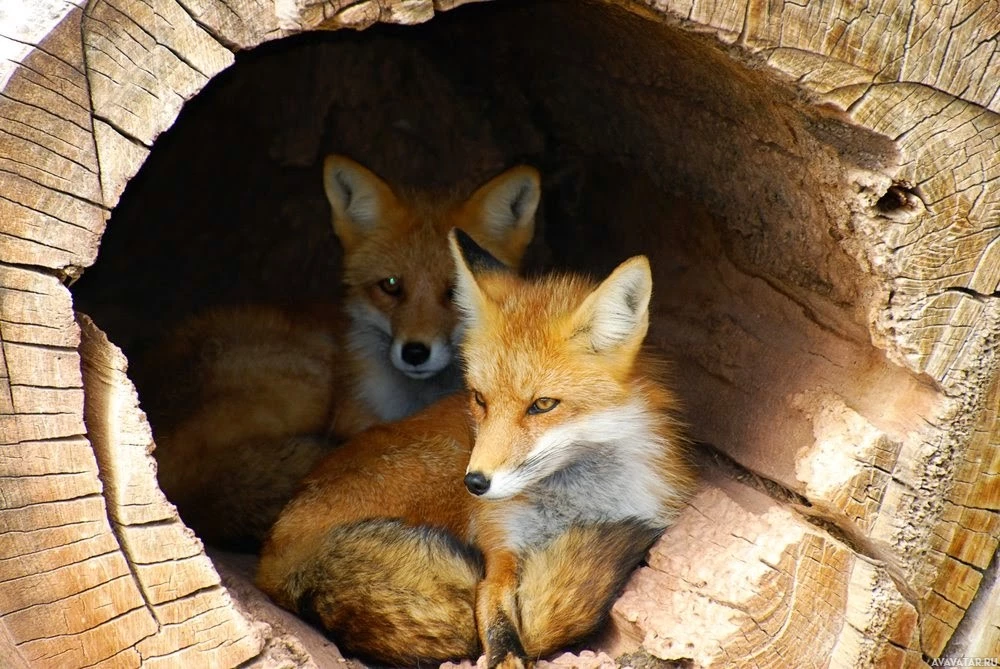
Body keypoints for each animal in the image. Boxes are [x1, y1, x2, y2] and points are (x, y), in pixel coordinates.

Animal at [256, 231, 696, 668]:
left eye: (543, 404)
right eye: (480, 399)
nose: (476, 483)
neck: (573, 510)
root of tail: (276, 553)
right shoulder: (498, 554)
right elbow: (501, 632)